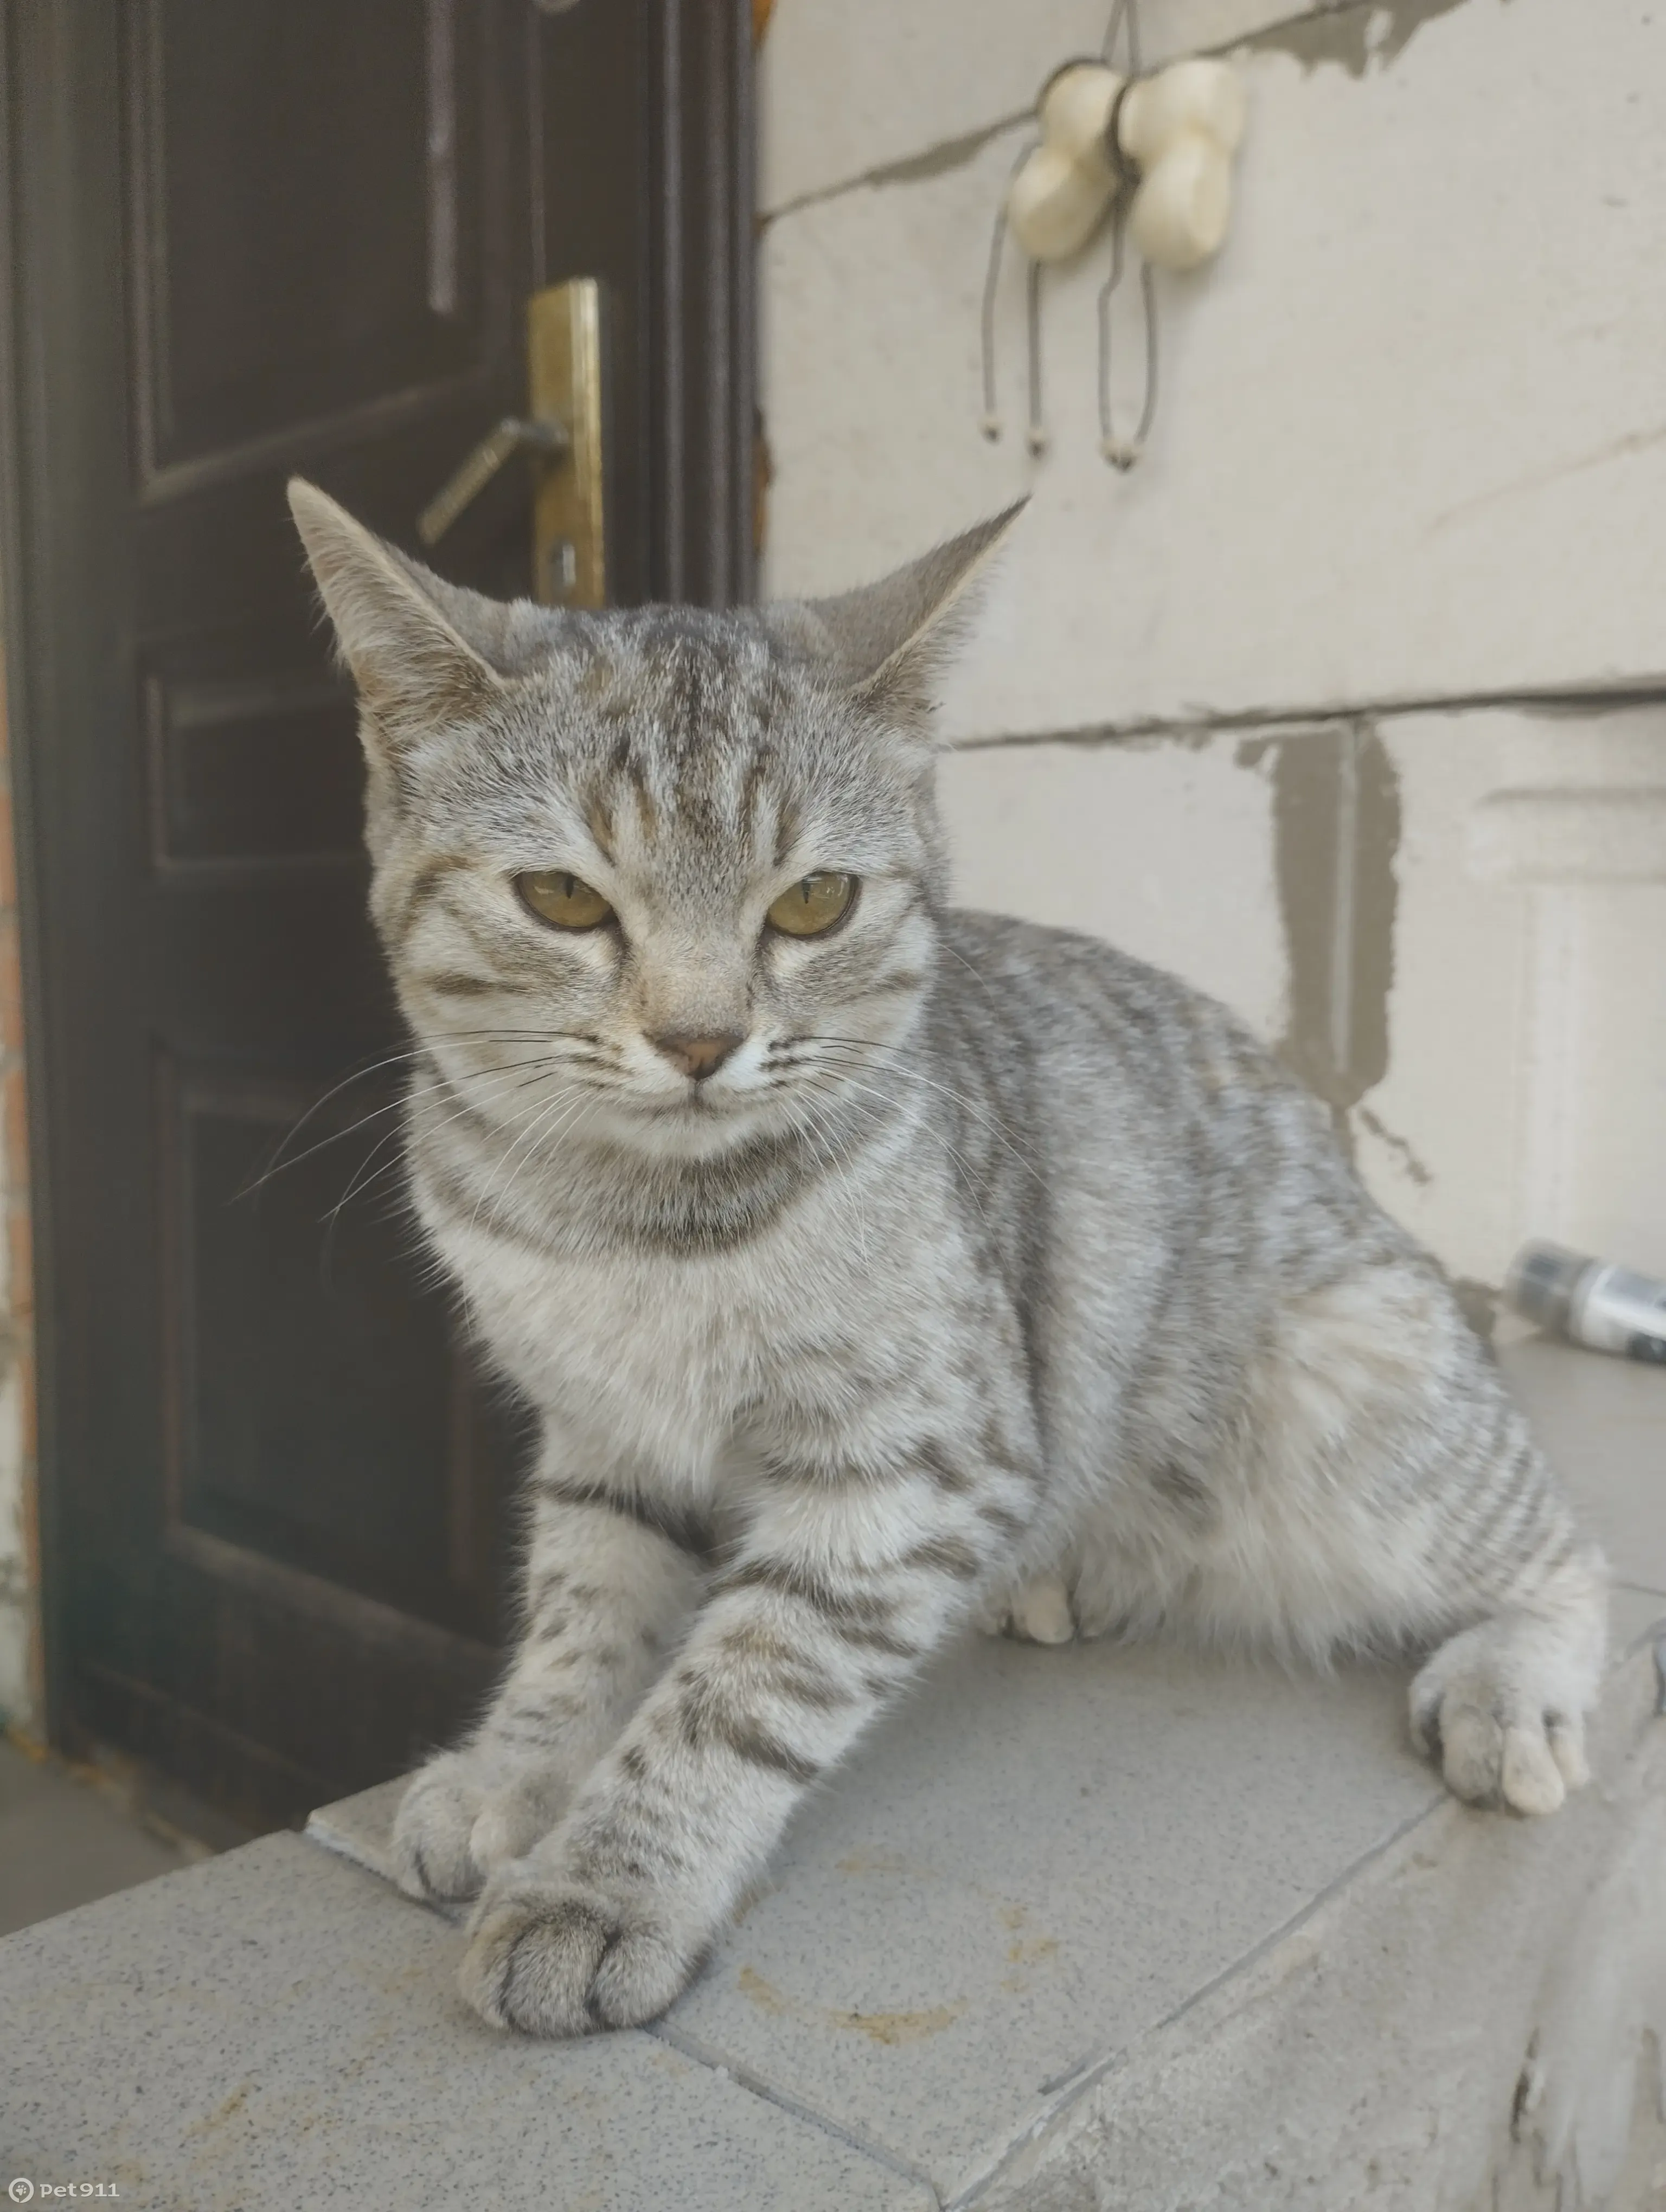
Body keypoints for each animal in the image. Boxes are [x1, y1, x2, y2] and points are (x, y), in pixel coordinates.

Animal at [292, 480, 1601, 2035]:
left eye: (813, 905)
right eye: (560, 896)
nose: (697, 1039)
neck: (631, 1216)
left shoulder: (917, 1463)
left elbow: (741, 1685)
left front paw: (607, 1883)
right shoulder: (604, 1434)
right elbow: (581, 1614)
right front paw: (518, 1769)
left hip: (1356, 1391)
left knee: (1570, 1554)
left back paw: (1513, 1681)